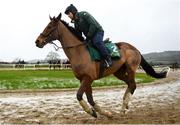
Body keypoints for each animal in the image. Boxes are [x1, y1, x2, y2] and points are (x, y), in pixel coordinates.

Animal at [35, 12, 170, 118]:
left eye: (50, 26)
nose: (37, 41)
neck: (79, 52)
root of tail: (135, 49)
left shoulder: (88, 78)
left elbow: (79, 96)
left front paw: (91, 112)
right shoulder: (84, 80)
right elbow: (90, 99)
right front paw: (103, 113)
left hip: (131, 68)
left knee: (133, 85)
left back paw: (123, 108)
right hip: (119, 72)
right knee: (129, 84)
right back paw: (125, 106)